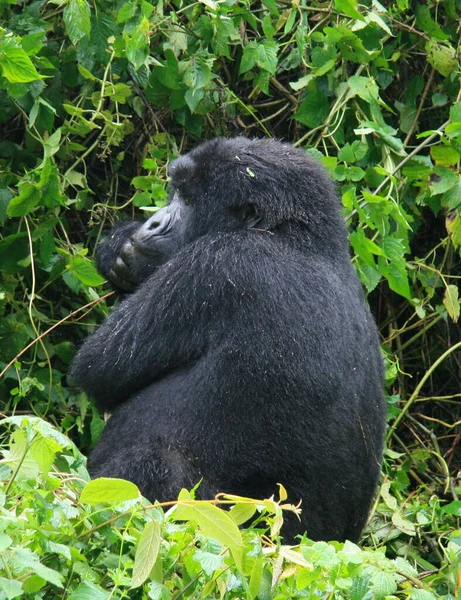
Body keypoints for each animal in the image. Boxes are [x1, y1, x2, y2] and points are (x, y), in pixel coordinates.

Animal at [69, 137, 384, 544]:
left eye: (188, 199)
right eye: (175, 191)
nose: (154, 223)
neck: (298, 237)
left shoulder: (216, 263)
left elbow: (98, 368)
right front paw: (119, 247)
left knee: (153, 463)